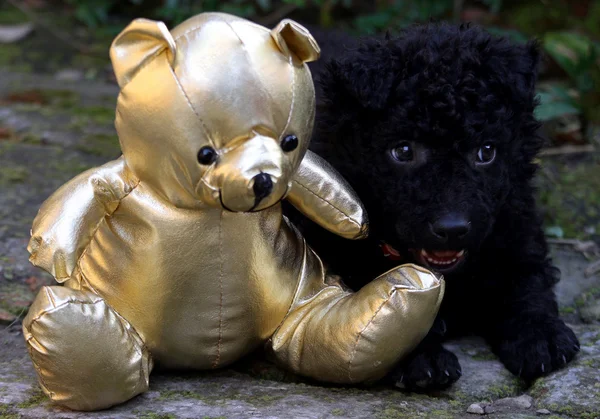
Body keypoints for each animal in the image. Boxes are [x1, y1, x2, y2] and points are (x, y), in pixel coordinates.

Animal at [288, 22, 580, 390]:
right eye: (403, 151)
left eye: (486, 152)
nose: (452, 229)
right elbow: (381, 302)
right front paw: (420, 356)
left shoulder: (514, 225)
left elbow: (528, 282)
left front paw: (540, 333)